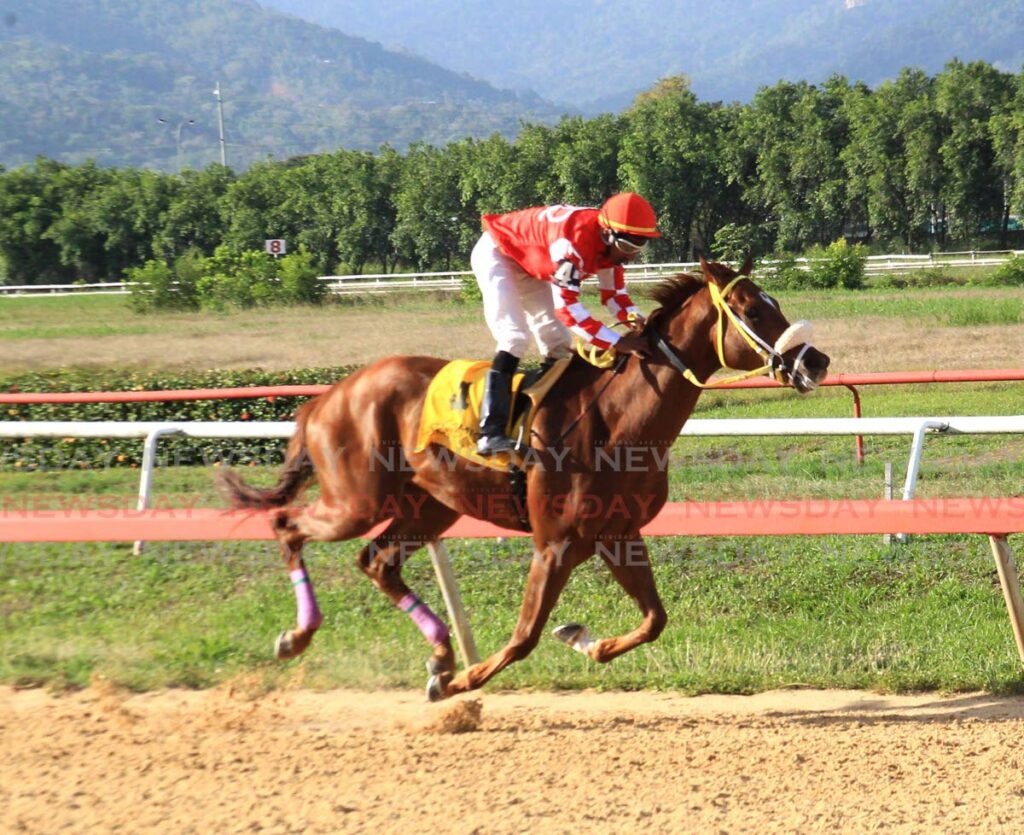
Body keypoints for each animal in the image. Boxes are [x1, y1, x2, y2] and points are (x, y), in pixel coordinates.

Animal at [220, 255, 827, 700]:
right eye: (751, 309)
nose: (815, 361)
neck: (619, 421)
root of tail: (327, 396)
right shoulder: (554, 543)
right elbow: (524, 635)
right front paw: (466, 681)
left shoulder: (617, 535)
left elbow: (654, 619)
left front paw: (582, 640)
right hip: (354, 501)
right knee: (288, 525)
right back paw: (299, 637)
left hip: (429, 506)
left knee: (377, 562)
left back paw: (440, 654)